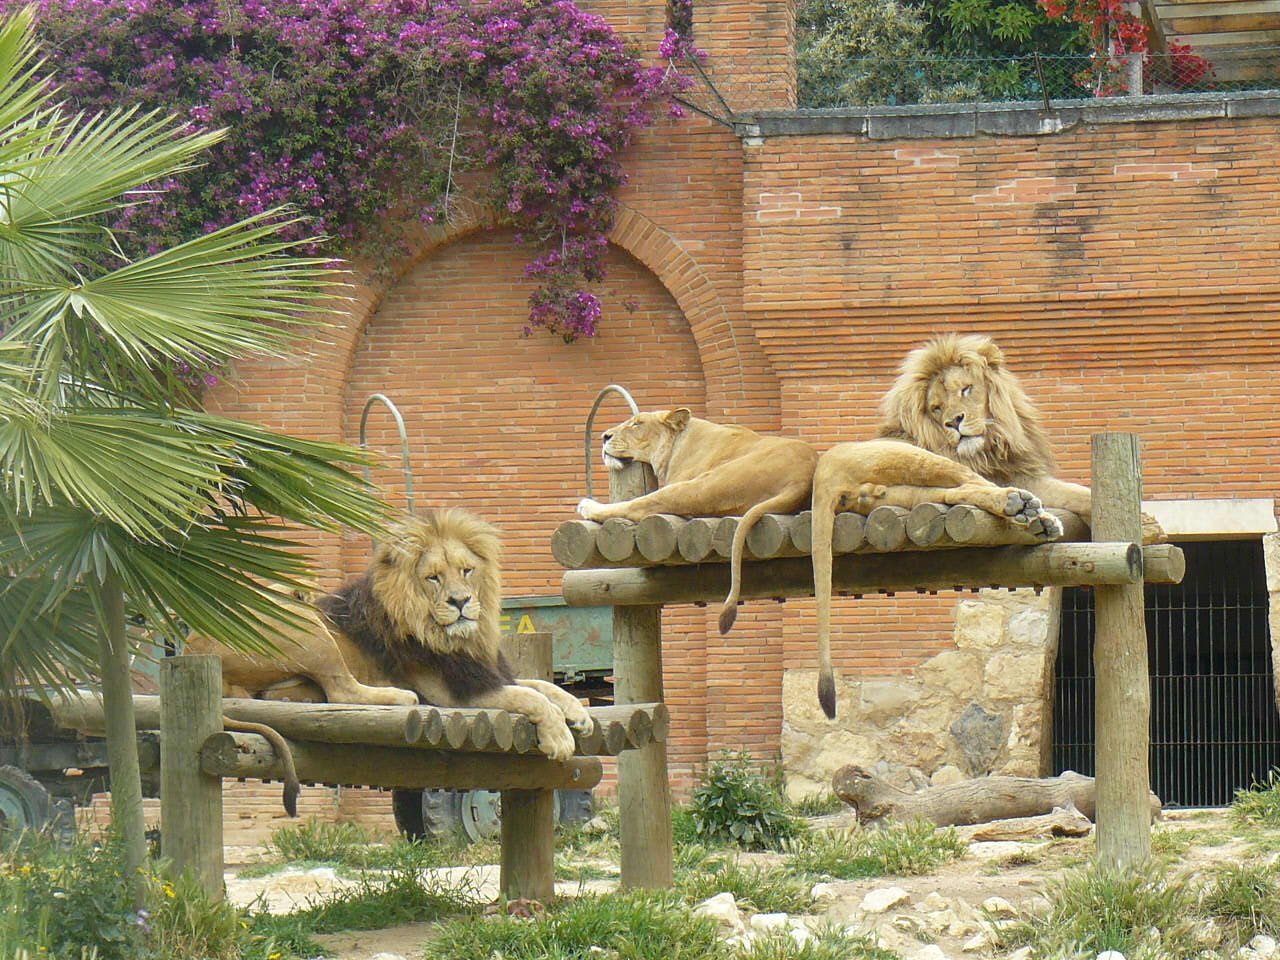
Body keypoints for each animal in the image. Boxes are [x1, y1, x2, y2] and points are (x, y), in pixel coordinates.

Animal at [186, 508, 592, 813]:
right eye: (433, 578)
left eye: (467, 570)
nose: (460, 601)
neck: (457, 637)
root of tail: (191, 647)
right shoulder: (454, 694)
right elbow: (531, 696)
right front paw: (559, 737)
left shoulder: (482, 673)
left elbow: (541, 685)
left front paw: (579, 714)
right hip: (302, 621)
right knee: (343, 692)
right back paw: (400, 697)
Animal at [577, 408, 818, 634]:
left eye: (637, 423)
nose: (604, 436)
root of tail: (801, 480)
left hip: (703, 484)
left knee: (641, 506)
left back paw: (589, 506)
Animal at [810, 334, 1164, 719]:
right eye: (937, 408)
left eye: (965, 389)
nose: (954, 422)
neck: (992, 445)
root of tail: (824, 472)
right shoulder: (1006, 475)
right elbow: (1076, 492)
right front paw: (1149, 526)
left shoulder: (1025, 475)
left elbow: (1079, 491)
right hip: (918, 458)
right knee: (972, 485)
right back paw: (1026, 510)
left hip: (910, 488)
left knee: (955, 492)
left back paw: (1035, 519)